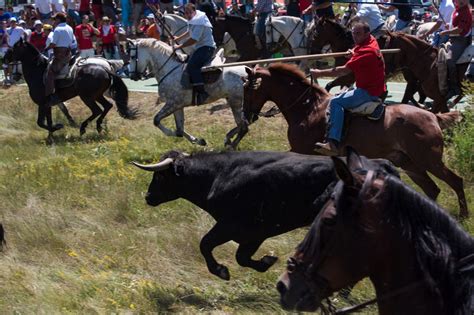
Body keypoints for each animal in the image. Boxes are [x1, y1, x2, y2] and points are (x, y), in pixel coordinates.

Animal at [131, 151, 398, 282]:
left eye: (160, 175)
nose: (148, 196)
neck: (218, 175)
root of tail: (382, 164)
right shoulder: (254, 234)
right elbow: (242, 257)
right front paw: (266, 262)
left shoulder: (232, 226)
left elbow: (205, 244)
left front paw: (221, 271)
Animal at [244, 64, 466, 217]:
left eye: (249, 89)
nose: (247, 115)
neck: (308, 108)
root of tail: (433, 116)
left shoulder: (302, 151)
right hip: (409, 163)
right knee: (432, 189)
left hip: (428, 160)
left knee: (455, 181)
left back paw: (463, 215)